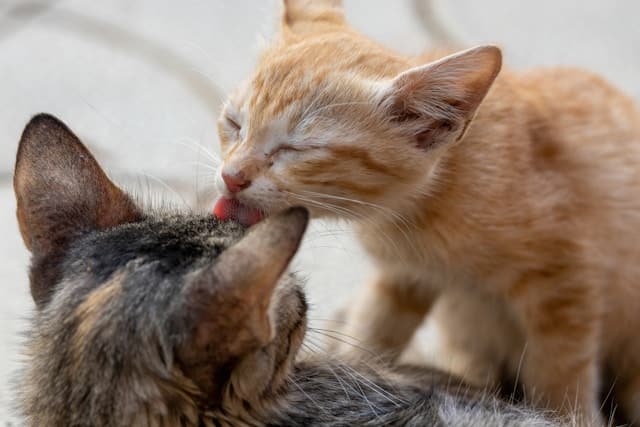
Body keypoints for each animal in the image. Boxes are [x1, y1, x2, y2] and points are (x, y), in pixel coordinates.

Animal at [214, 0, 640, 424]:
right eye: (234, 124)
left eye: (295, 150)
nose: (231, 177)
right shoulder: (404, 276)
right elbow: (373, 332)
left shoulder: (568, 279)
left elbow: (561, 370)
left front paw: (566, 414)